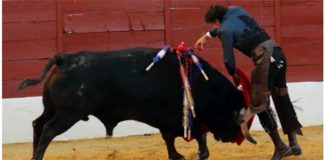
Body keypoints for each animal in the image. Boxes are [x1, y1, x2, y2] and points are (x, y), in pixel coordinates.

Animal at [19, 47, 246, 160]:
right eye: (236, 112)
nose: (235, 137)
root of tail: (64, 59)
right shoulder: (189, 118)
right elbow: (200, 141)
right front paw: (195, 155)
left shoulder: (169, 122)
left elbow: (169, 139)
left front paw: (178, 156)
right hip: (69, 114)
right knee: (48, 130)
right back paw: (37, 157)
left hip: (52, 109)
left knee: (37, 124)